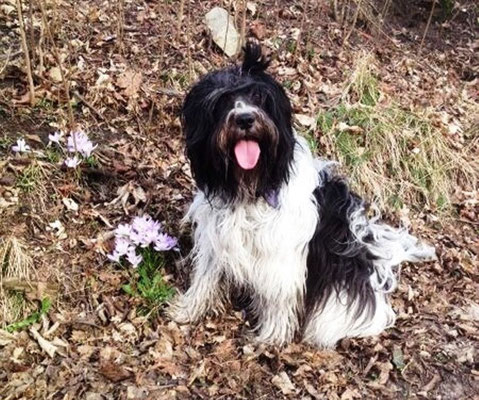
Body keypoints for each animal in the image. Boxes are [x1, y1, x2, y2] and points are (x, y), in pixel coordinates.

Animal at [170, 40, 438, 346]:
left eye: (259, 97)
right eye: (223, 101)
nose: (246, 118)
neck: (252, 186)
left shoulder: (282, 254)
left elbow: (279, 296)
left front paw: (271, 337)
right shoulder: (217, 238)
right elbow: (206, 275)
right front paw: (189, 309)